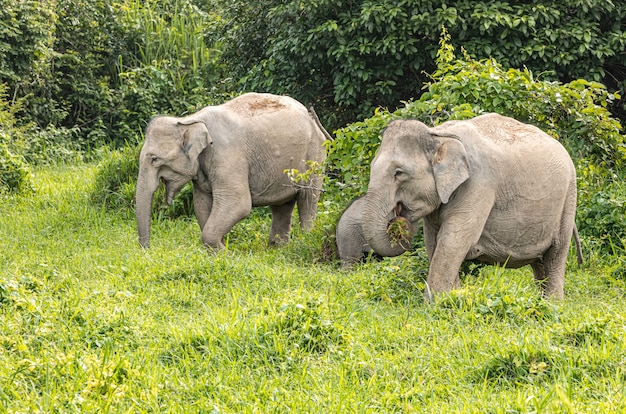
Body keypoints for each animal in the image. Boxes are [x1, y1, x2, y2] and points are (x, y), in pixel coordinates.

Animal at [136, 92, 330, 251]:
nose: (148, 250)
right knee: (282, 204)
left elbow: (239, 203)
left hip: (315, 155)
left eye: (154, 159)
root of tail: (311, 116)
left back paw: (305, 240)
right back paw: (277, 247)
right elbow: (201, 204)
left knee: (308, 198)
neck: (188, 120)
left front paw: (224, 252)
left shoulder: (227, 155)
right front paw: (218, 250)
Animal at [360, 113, 580, 300]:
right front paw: (452, 299)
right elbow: (433, 243)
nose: (397, 219)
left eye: (399, 173)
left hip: (568, 197)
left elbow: (453, 240)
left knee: (556, 254)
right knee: (539, 263)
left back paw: (553, 305)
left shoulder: (478, 184)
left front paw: (435, 305)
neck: (437, 134)